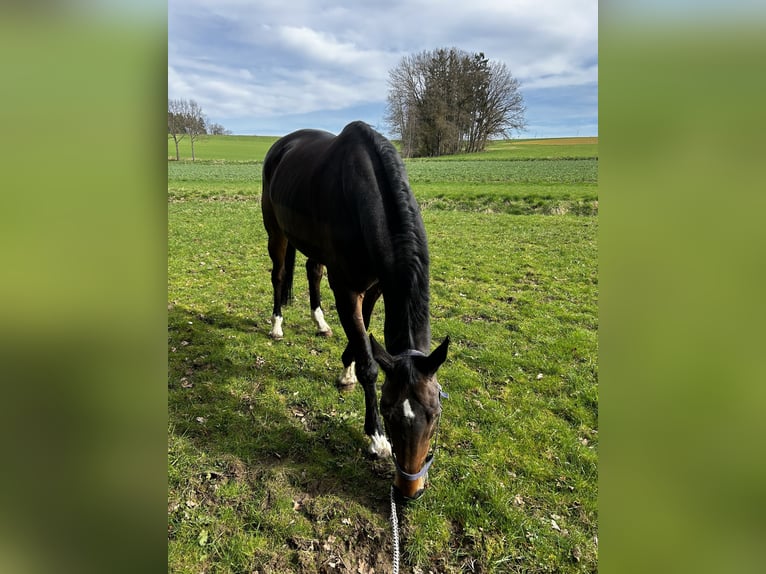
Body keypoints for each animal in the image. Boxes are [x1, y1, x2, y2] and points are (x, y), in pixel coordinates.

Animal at [262, 121, 450, 500]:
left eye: (435, 414)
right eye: (388, 412)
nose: (409, 491)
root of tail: (281, 145)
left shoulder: (375, 284)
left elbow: (363, 338)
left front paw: (346, 369)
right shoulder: (347, 287)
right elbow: (369, 361)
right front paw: (375, 438)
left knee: (313, 271)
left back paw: (320, 323)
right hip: (276, 231)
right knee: (279, 274)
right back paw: (277, 325)